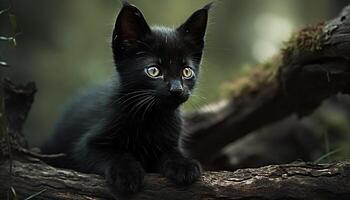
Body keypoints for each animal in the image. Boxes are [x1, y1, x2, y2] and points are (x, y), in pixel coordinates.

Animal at [41, 1, 211, 195]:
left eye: (186, 72)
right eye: (154, 71)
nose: (177, 89)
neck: (151, 118)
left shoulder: (172, 141)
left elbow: (171, 152)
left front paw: (183, 164)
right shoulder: (86, 146)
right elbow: (115, 153)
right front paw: (127, 173)